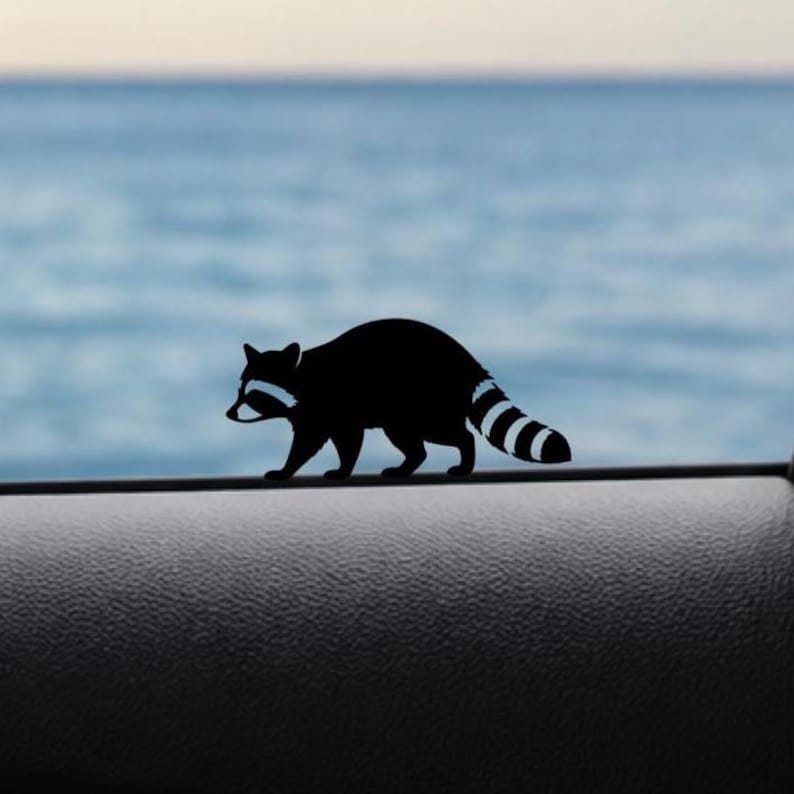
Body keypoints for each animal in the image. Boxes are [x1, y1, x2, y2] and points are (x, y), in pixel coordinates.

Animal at [228, 318, 571, 479]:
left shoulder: (332, 401)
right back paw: (408, 464)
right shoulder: (321, 409)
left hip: (424, 398)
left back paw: (464, 455)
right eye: (239, 391)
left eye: (252, 396)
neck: (300, 378)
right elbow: (335, 438)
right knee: (409, 440)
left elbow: (324, 440)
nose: (230, 414)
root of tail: (469, 363)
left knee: (449, 433)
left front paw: (293, 468)